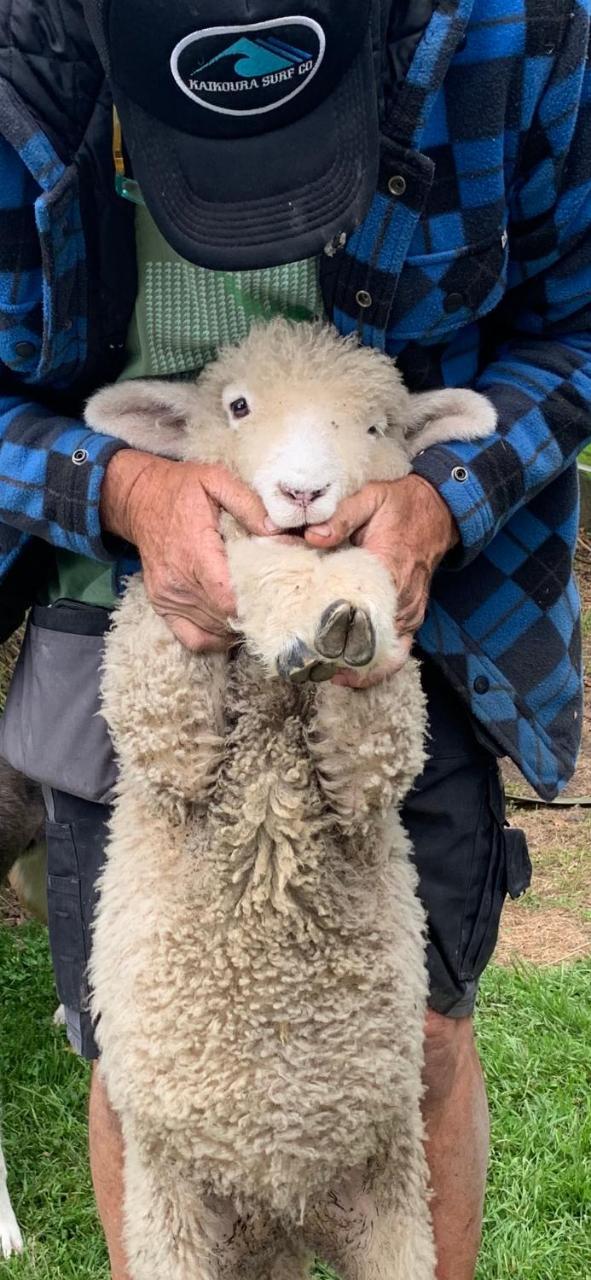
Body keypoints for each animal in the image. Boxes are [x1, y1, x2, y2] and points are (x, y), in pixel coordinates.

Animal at [85, 322, 496, 1280]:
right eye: (237, 406)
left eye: (376, 425)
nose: (302, 493)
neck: (274, 724)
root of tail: (276, 1213)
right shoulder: (162, 708)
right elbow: (229, 580)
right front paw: (294, 597)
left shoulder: (371, 755)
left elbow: (374, 725)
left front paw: (343, 611)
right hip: (170, 1219)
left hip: (392, 1211)